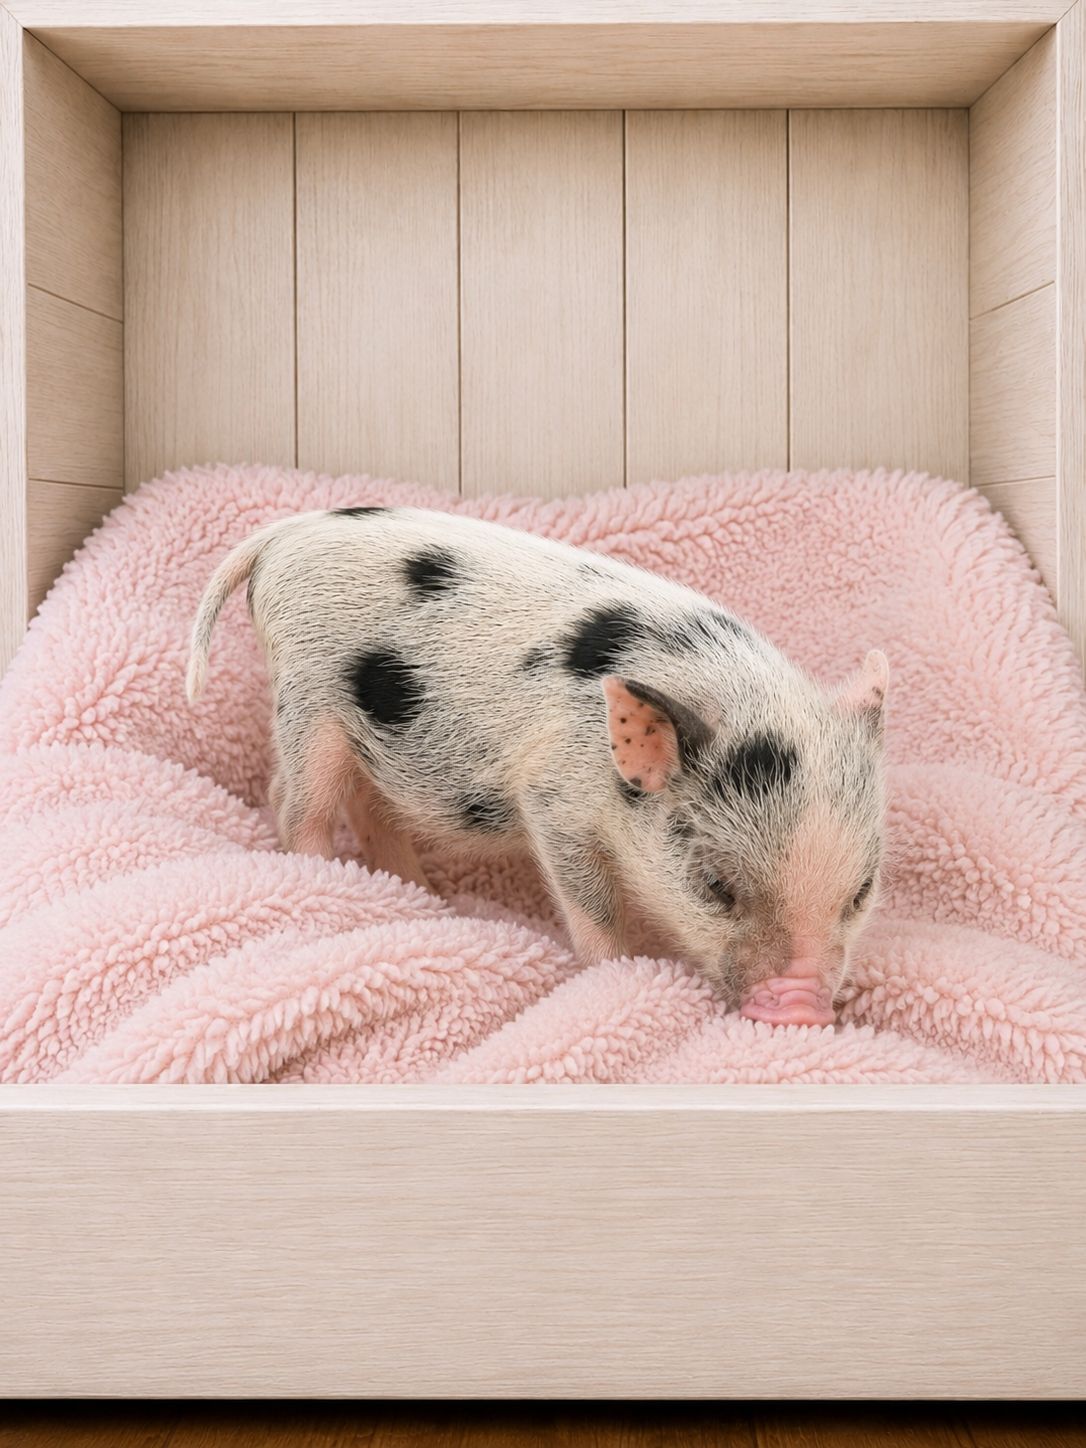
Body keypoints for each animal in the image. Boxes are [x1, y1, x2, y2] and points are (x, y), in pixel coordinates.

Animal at [186, 506, 888, 1027]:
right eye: (717, 886)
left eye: (859, 893)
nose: (804, 1011)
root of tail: (282, 535)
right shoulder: (553, 796)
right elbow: (591, 904)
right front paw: (614, 969)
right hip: (309, 699)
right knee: (293, 801)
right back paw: (325, 874)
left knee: (366, 806)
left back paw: (420, 896)